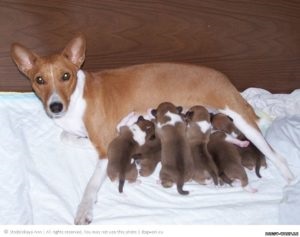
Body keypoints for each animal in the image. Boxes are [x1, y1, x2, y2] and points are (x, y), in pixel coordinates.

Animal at [10, 32, 294, 224]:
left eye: (65, 76)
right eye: (39, 80)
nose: (55, 106)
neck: (76, 98)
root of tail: (223, 78)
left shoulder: (103, 152)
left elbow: (90, 184)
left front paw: (84, 209)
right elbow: (67, 136)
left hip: (241, 118)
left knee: (274, 153)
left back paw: (289, 177)